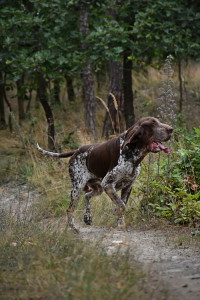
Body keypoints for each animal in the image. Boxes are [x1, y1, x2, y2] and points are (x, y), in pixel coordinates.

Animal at [35, 116, 172, 232]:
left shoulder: (127, 187)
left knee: (87, 196)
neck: (132, 151)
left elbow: (123, 205)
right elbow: (122, 206)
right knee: (70, 209)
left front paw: (120, 224)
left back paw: (87, 216)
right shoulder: (108, 183)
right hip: (77, 188)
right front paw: (116, 212)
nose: (171, 129)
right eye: (152, 124)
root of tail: (76, 151)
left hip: (98, 188)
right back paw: (74, 228)